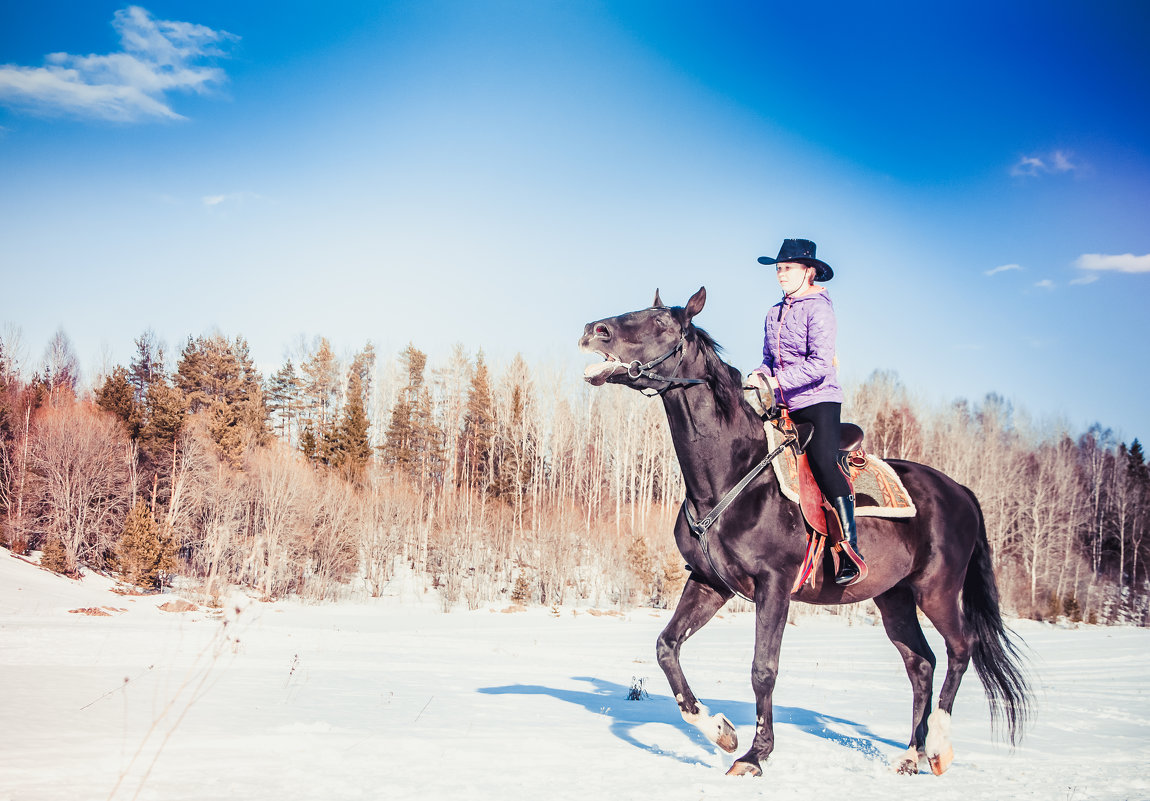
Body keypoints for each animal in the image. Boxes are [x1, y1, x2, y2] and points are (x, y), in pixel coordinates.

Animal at [579, 286, 1030, 776]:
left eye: (662, 323)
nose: (593, 331)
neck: (732, 473)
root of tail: (960, 491)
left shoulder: (774, 586)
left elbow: (763, 669)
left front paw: (754, 755)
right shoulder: (709, 583)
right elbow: (667, 647)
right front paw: (719, 730)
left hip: (937, 590)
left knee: (961, 648)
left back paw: (939, 749)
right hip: (894, 598)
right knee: (921, 663)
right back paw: (911, 755)